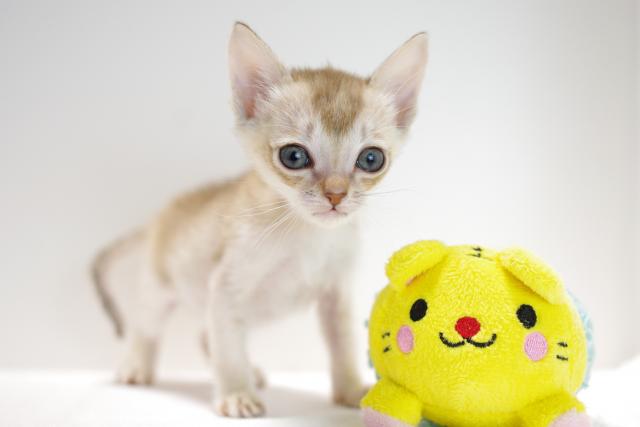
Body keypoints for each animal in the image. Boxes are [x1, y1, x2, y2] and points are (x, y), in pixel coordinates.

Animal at [92, 22, 428, 418]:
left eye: (371, 159)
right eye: (294, 156)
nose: (336, 194)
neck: (307, 235)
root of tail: (165, 212)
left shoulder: (337, 295)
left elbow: (342, 345)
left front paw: (349, 391)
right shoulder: (225, 287)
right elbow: (227, 350)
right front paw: (237, 393)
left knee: (206, 335)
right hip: (161, 289)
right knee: (147, 328)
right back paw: (136, 366)